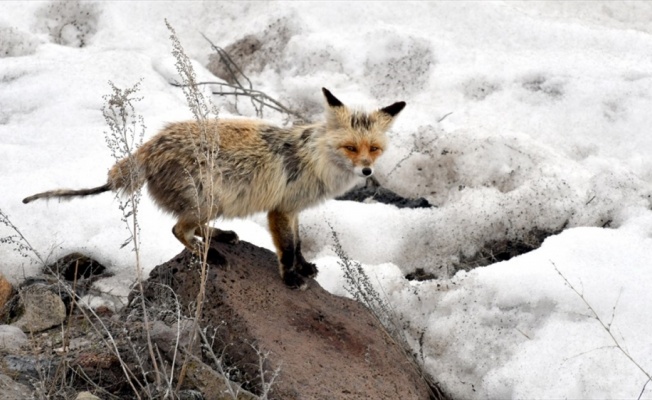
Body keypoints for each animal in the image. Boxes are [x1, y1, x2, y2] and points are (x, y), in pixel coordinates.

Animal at [22, 88, 404, 288]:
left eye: (374, 148)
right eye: (350, 148)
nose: (367, 170)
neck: (313, 159)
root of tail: (150, 146)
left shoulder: (292, 209)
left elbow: (298, 245)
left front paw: (305, 267)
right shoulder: (280, 210)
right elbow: (286, 249)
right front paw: (290, 277)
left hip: (213, 202)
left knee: (192, 227)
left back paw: (219, 237)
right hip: (210, 200)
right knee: (178, 229)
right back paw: (208, 254)